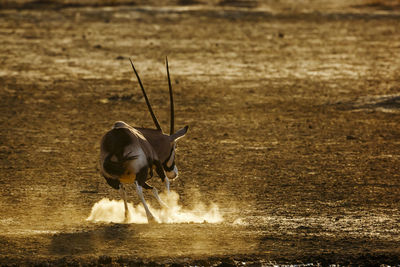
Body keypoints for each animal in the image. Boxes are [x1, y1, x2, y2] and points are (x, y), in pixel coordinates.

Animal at [99, 58, 188, 224]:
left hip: (113, 180)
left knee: (123, 190)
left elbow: (153, 189)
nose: (175, 173)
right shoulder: (157, 164)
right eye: (174, 147)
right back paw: (151, 217)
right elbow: (163, 183)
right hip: (140, 172)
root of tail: (117, 144)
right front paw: (169, 207)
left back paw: (127, 216)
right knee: (138, 189)